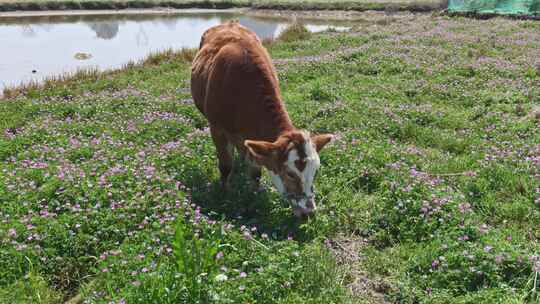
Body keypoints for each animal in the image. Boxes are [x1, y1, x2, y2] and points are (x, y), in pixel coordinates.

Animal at [190, 21, 334, 216]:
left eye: (316, 171)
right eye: (290, 173)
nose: (309, 212)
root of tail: (229, 23)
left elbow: (255, 171)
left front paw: (255, 192)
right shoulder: (216, 127)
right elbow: (225, 165)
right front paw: (225, 194)